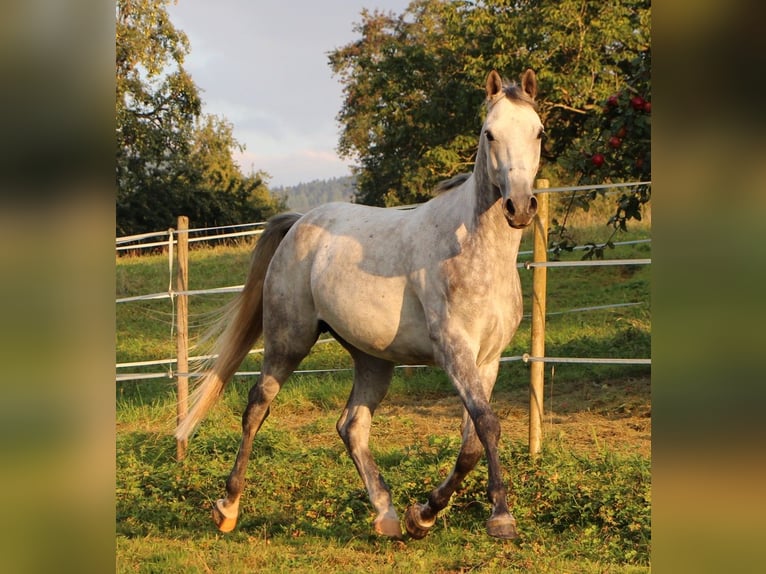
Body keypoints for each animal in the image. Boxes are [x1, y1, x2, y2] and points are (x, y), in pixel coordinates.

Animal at [176, 70, 544, 544]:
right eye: (489, 133)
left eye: (538, 132)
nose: (519, 207)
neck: (474, 252)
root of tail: (299, 223)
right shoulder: (454, 351)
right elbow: (487, 425)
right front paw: (500, 517)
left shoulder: (488, 360)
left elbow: (473, 442)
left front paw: (423, 515)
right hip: (288, 340)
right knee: (257, 407)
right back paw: (228, 508)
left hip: (372, 358)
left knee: (351, 426)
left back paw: (387, 515)